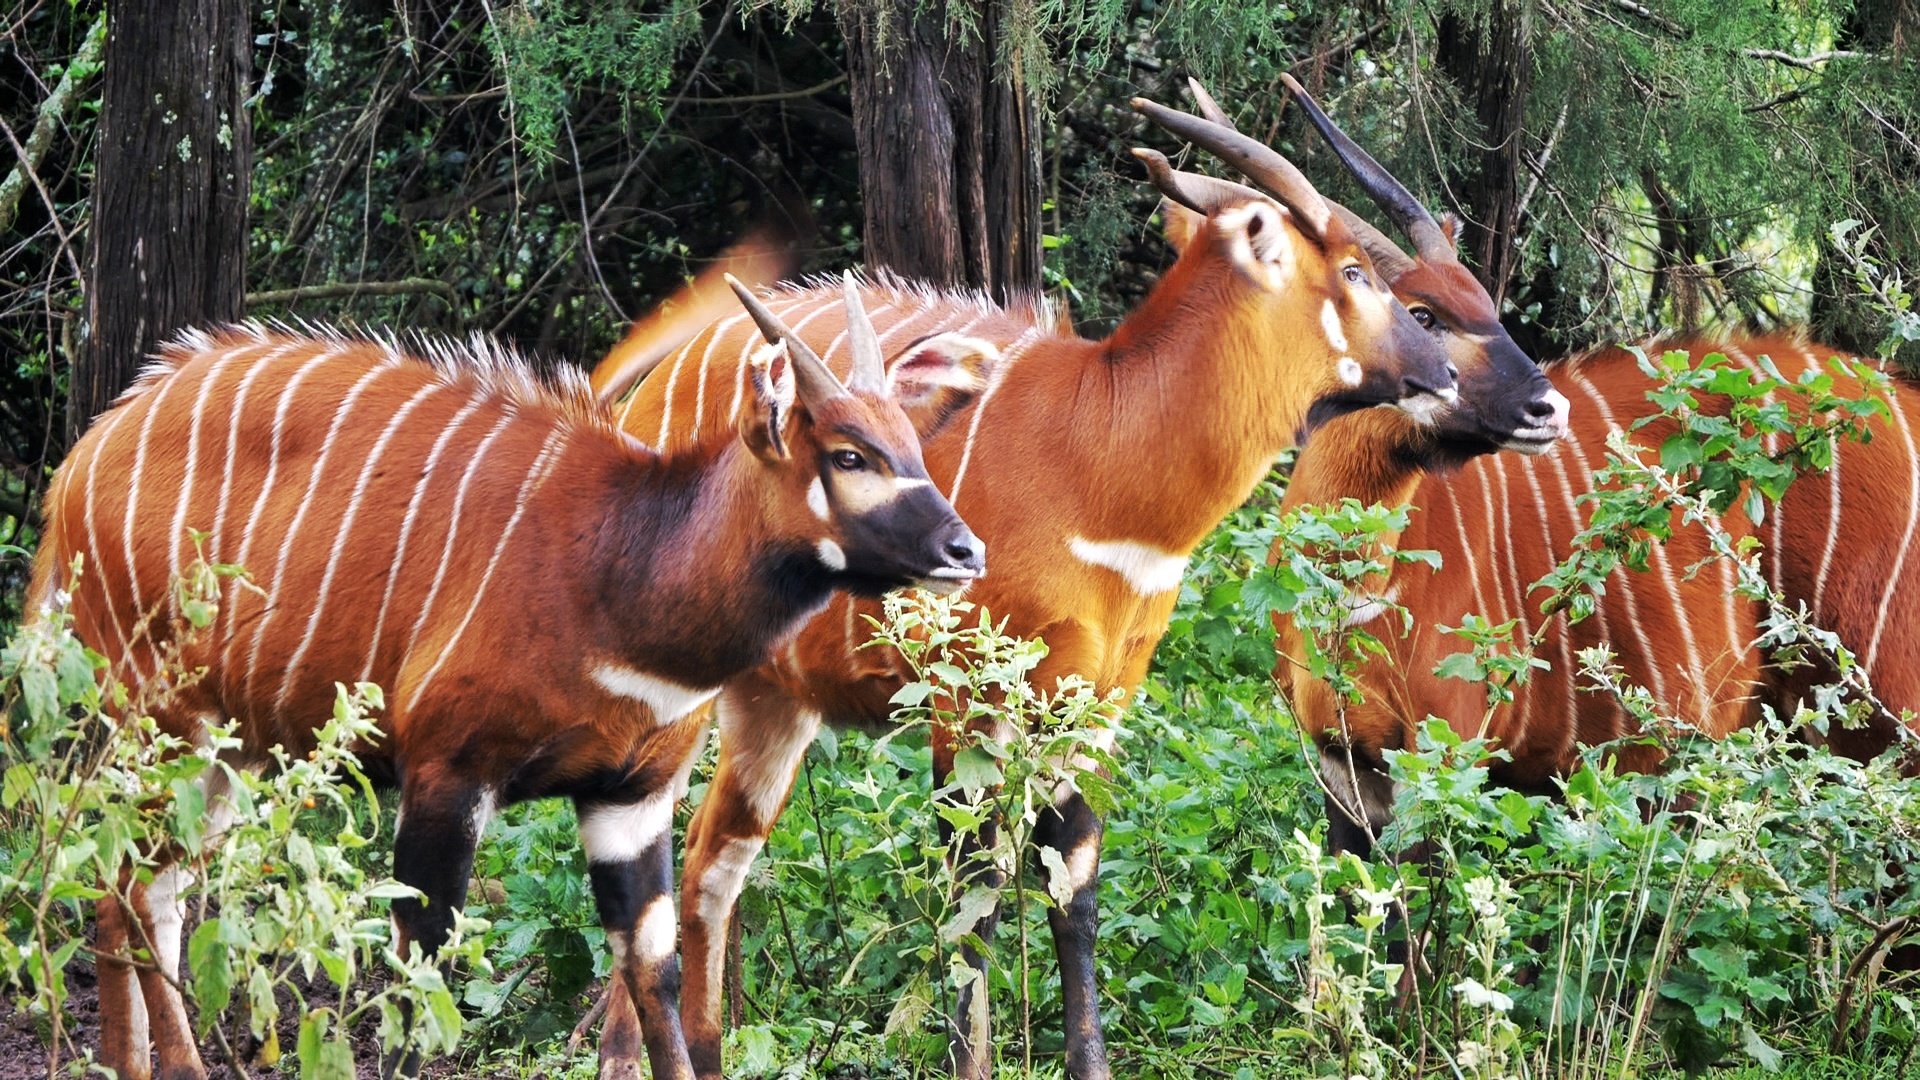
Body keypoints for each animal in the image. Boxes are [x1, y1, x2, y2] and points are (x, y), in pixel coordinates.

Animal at [27, 279, 984, 1080]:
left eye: (912, 446)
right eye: (849, 455)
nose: (964, 550)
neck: (620, 569)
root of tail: (78, 462)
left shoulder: (631, 795)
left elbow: (653, 970)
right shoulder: (448, 772)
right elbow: (417, 978)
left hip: (226, 752)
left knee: (135, 887)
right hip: (164, 720)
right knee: (129, 887)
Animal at [587, 99, 1461, 1080]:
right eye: (1355, 272)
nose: (1444, 373)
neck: (1103, 453)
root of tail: (651, 387)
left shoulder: (1097, 699)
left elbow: (1070, 888)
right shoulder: (966, 695)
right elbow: (973, 899)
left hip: (774, 701)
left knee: (711, 862)